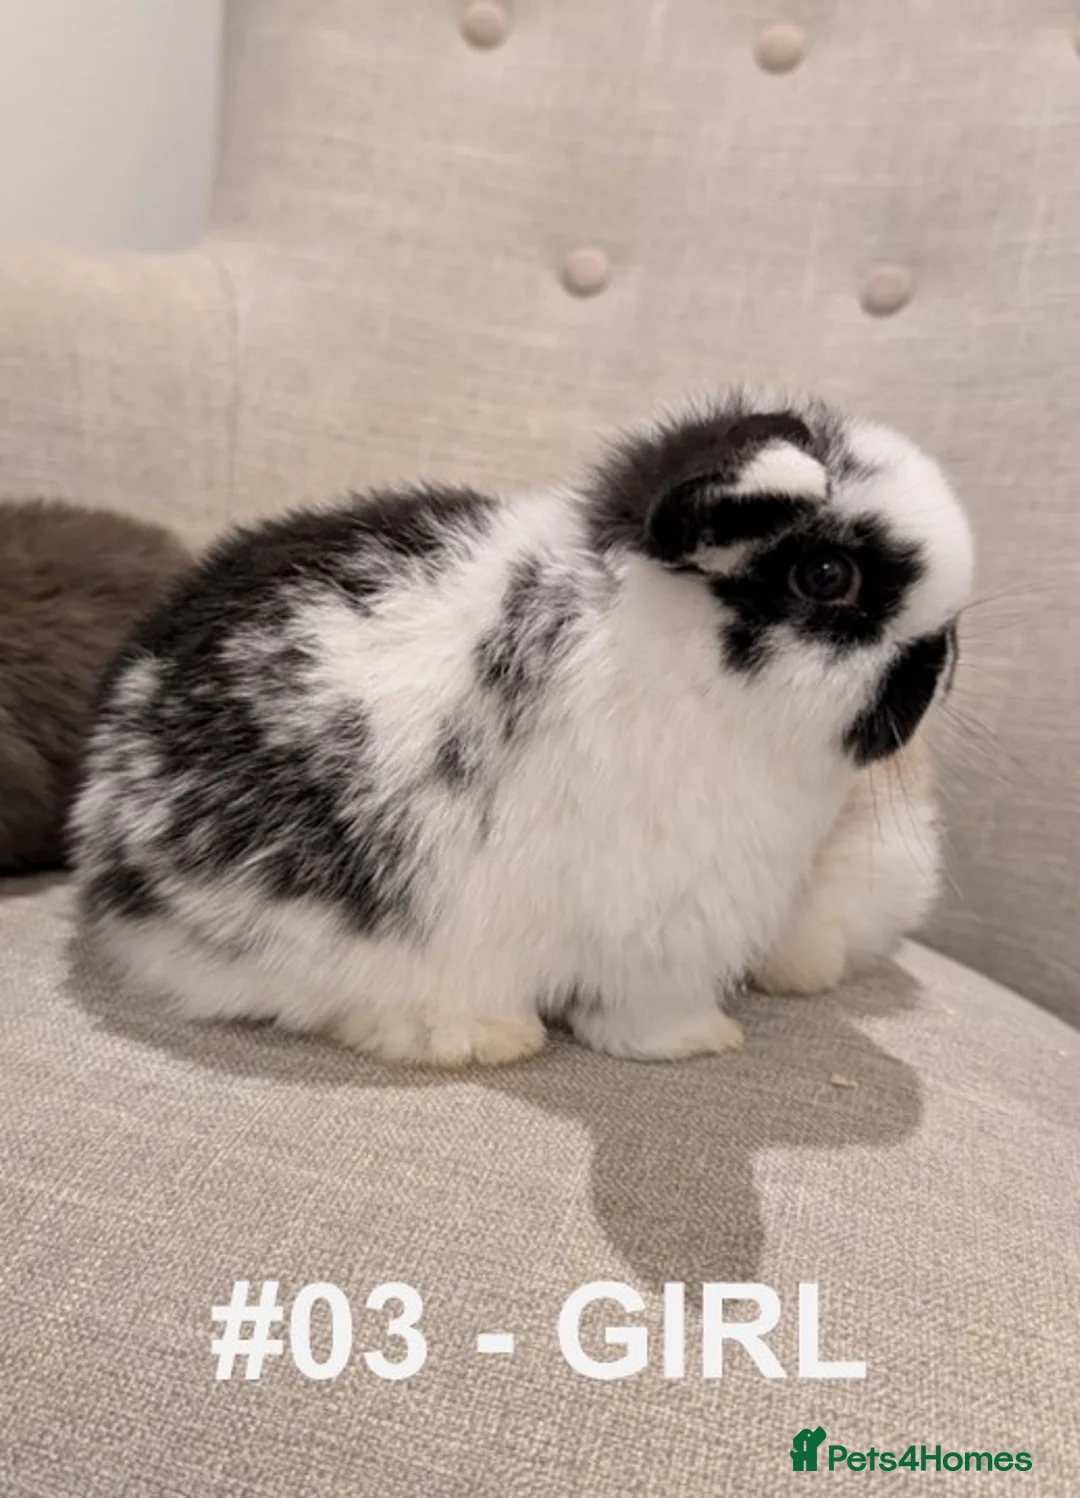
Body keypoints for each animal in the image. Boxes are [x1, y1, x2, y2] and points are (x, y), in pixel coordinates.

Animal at [69, 391, 973, 1066]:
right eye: (826, 575)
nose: (939, 671)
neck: (670, 662)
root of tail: (102, 828)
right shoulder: (663, 934)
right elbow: (649, 1013)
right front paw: (704, 1042)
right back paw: (483, 1037)